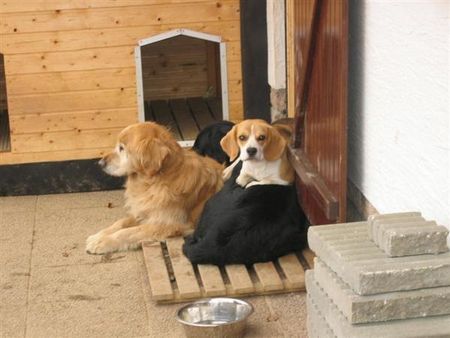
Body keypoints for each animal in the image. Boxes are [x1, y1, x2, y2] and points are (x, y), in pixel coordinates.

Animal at [85, 123, 223, 255]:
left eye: (122, 148)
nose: (100, 163)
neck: (156, 181)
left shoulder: (166, 224)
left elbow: (128, 232)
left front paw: (102, 241)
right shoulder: (144, 211)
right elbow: (121, 222)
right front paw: (98, 235)